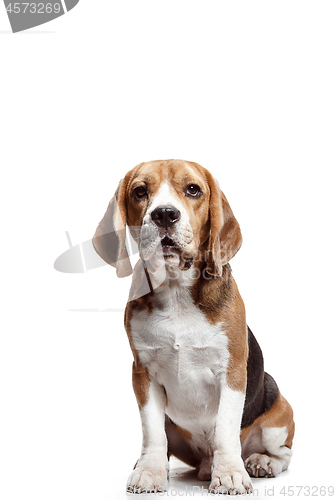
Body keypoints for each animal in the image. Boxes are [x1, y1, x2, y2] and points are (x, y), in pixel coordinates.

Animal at [92, 160, 294, 496]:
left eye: (193, 190)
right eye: (140, 192)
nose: (164, 214)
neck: (176, 292)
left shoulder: (232, 372)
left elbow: (226, 428)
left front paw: (229, 475)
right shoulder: (143, 373)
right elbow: (152, 432)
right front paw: (149, 472)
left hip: (279, 412)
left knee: (283, 453)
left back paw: (259, 462)